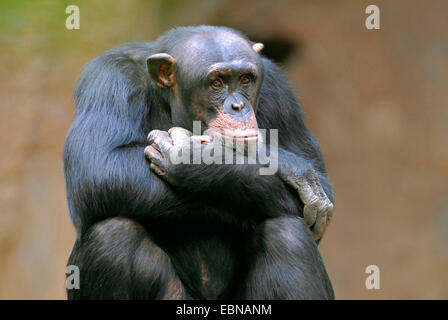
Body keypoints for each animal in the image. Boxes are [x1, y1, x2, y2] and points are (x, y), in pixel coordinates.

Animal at [65, 25, 334, 300]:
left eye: (245, 79)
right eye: (216, 83)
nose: (238, 106)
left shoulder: (279, 91)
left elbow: (321, 186)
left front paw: (192, 157)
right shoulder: (108, 79)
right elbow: (99, 166)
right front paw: (285, 162)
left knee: (289, 235)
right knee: (113, 236)